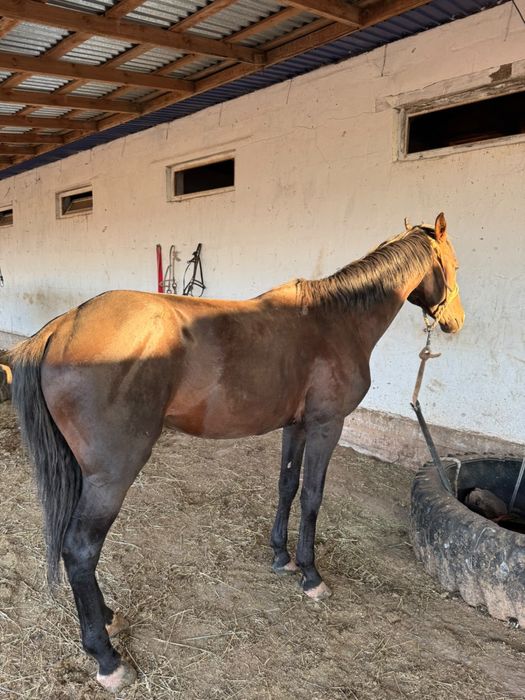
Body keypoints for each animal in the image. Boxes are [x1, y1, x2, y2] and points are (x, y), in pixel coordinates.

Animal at [10, 212, 464, 692]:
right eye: (453, 265)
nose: (455, 321)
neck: (336, 321)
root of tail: (61, 328)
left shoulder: (296, 426)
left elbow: (287, 485)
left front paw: (281, 556)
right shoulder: (327, 425)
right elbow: (313, 497)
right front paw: (311, 575)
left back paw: (109, 618)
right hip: (111, 476)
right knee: (81, 549)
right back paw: (106, 658)